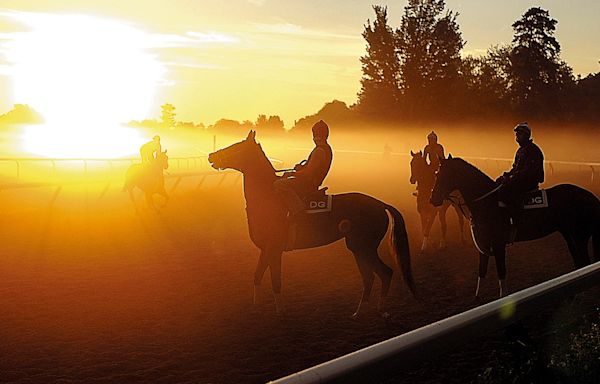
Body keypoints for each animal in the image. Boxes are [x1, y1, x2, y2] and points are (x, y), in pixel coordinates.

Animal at [209, 130, 414, 316]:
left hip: (363, 247)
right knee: (370, 277)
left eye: (236, 146)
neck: (268, 199)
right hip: (358, 249)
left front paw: (280, 312)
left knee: (384, 273)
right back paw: (359, 312)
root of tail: (380, 203)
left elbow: (275, 280)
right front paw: (256, 307)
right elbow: (258, 276)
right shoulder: (266, 249)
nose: (211, 156)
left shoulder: (274, 249)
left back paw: (376, 309)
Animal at [432, 155, 600, 296]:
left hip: (580, 237)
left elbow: (501, 273)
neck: (488, 202)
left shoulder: (498, 245)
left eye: (443, 175)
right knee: (579, 262)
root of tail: (592, 197)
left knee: (584, 262)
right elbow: (481, 272)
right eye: (436, 174)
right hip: (569, 235)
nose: (432, 199)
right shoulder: (483, 245)